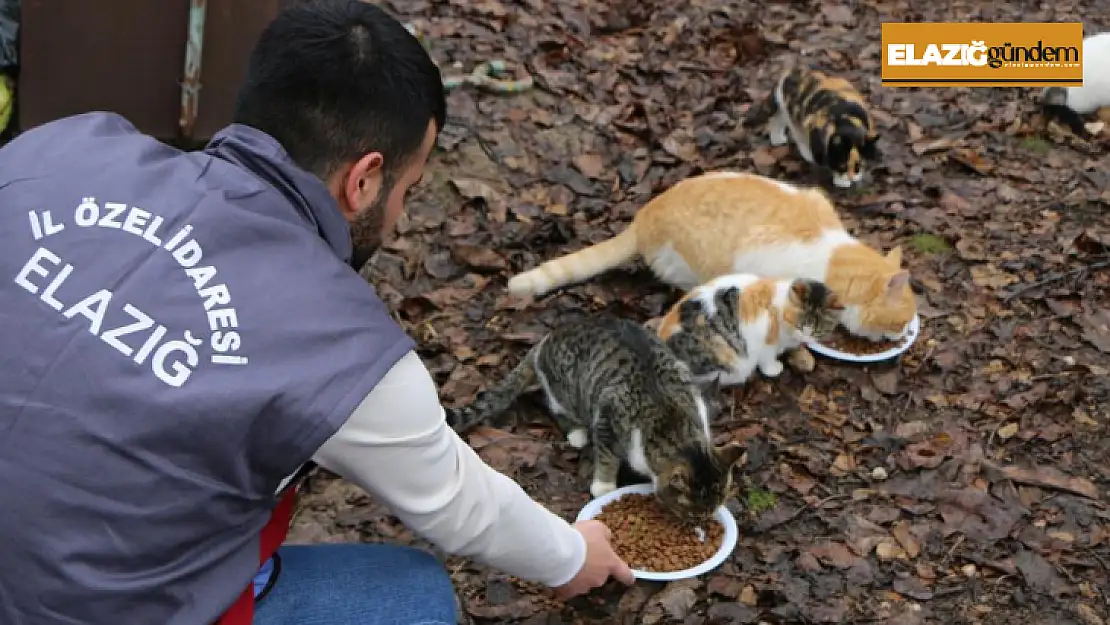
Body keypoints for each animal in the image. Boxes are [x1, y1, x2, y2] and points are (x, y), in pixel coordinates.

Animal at [446, 313, 741, 523]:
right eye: (694, 512)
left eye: (715, 506)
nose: (703, 521)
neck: (673, 421)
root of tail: (543, 342)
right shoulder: (607, 417)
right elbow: (608, 455)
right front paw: (604, 485)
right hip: (567, 392)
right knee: (556, 407)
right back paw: (577, 434)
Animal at [657, 275, 839, 386]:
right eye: (799, 325)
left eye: (818, 331)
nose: (805, 338)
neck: (778, 305)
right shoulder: (765, 339)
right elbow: (767, 358)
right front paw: (773, 369)